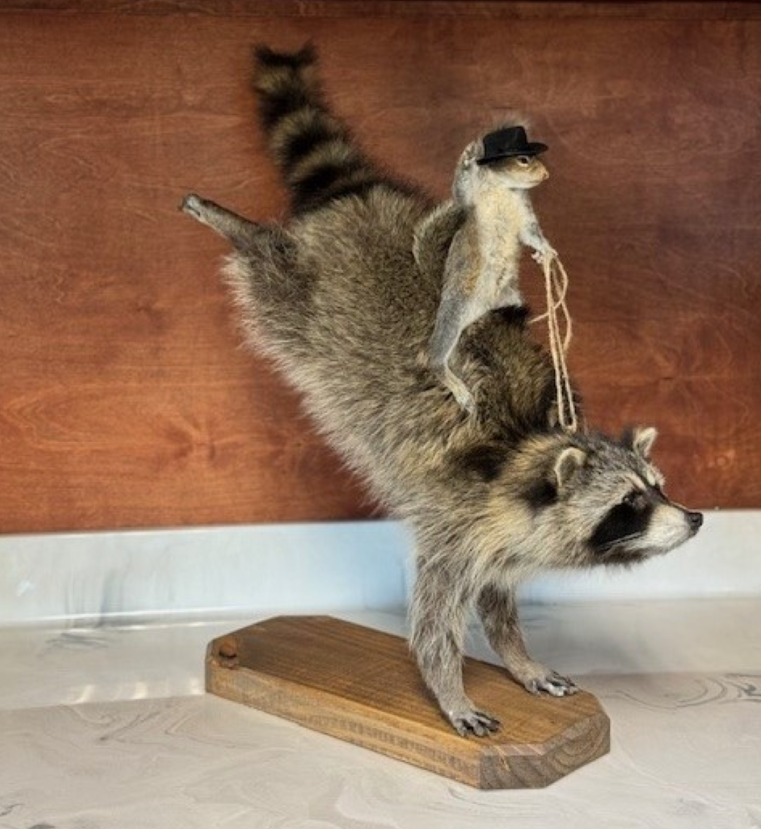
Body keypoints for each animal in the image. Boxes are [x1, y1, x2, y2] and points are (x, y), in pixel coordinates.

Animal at [182, 44, 703, 737]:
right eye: (631, 504)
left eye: (659, 487)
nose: (695, 517)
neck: (527, 451)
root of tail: (359, 200)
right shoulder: (456, 516)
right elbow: (433, 615)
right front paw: (448, 686)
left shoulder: (500, 532)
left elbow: (498, 598)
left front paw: (518, 658)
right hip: (302, 298)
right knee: (273, 269)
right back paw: (237, 226)